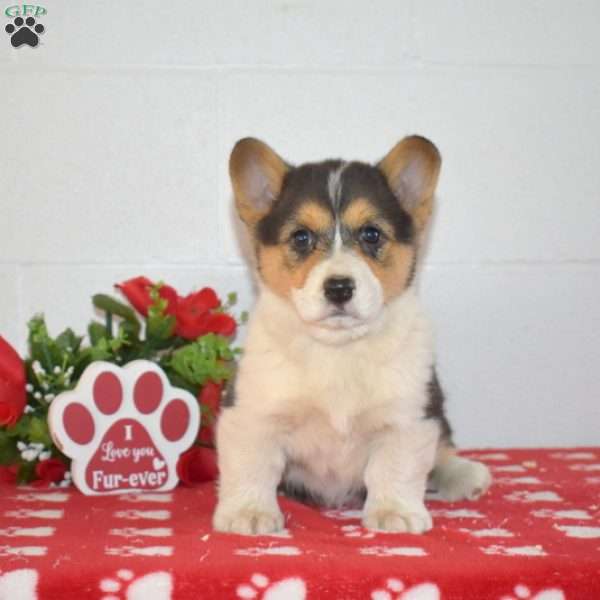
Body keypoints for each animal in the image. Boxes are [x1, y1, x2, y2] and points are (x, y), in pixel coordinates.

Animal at [213, 136, 490, 536]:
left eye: (371, 234)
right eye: (301, 237)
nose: (339, 288)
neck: (338, 348)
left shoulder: (408, 417)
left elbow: (396, 468)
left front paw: (395, 512)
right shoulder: (253, 412)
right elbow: (252, 465)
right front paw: (248, 512)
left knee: (443, 448)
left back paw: (464, 473)